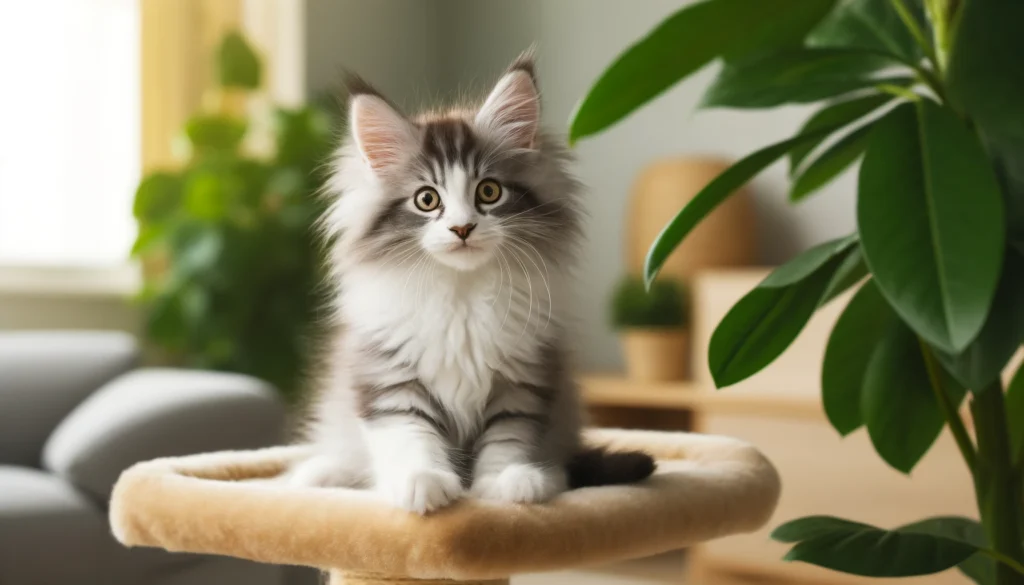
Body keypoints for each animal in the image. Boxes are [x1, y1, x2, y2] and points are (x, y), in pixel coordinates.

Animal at [292, 52, 651, 514]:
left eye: (489, 191)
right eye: (427, 199)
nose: (462, 228)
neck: (460, 294)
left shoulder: (522, 381)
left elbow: (507, 439)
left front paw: (506, 482)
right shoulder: (389, 378)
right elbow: (409, 436)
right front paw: (421, 483)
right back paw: (318, 474)